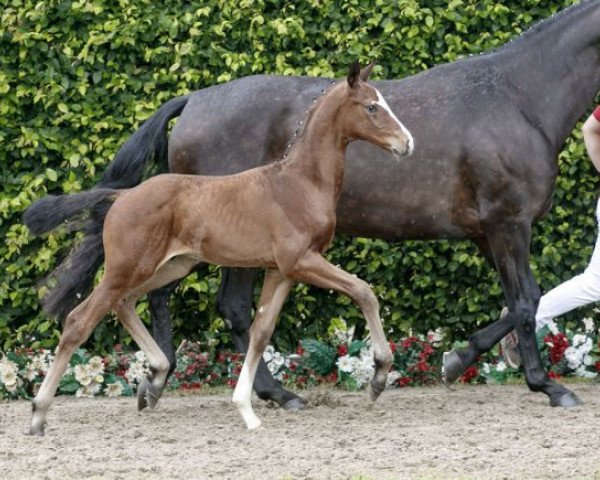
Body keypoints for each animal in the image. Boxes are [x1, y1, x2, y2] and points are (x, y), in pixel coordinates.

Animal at [25, 61, 414, 436]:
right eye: (372, 107)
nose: (407, 143)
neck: (298, 183)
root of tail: (122, 196)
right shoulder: (303, 260)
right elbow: (364, 292)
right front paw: (379, 377)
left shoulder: (281, 270)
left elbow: (261, 332)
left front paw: (247, 410)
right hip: (127, 267)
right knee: (79, 320)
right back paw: (38, 415)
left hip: (171, 265)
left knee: (125, 302)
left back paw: (156, 374)